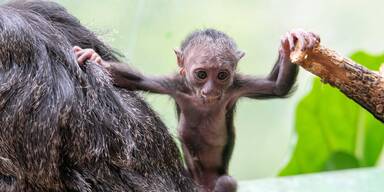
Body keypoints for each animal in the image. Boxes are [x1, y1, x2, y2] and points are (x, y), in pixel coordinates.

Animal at [73, 28, 320, 192]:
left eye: (222, 75)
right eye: (201, 74)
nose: (210, 90)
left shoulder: (236, 87)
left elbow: (277, 87)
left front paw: (290, 46)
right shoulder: (175, 85)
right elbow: (137, 80)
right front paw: (96, 59)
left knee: (226, 182)